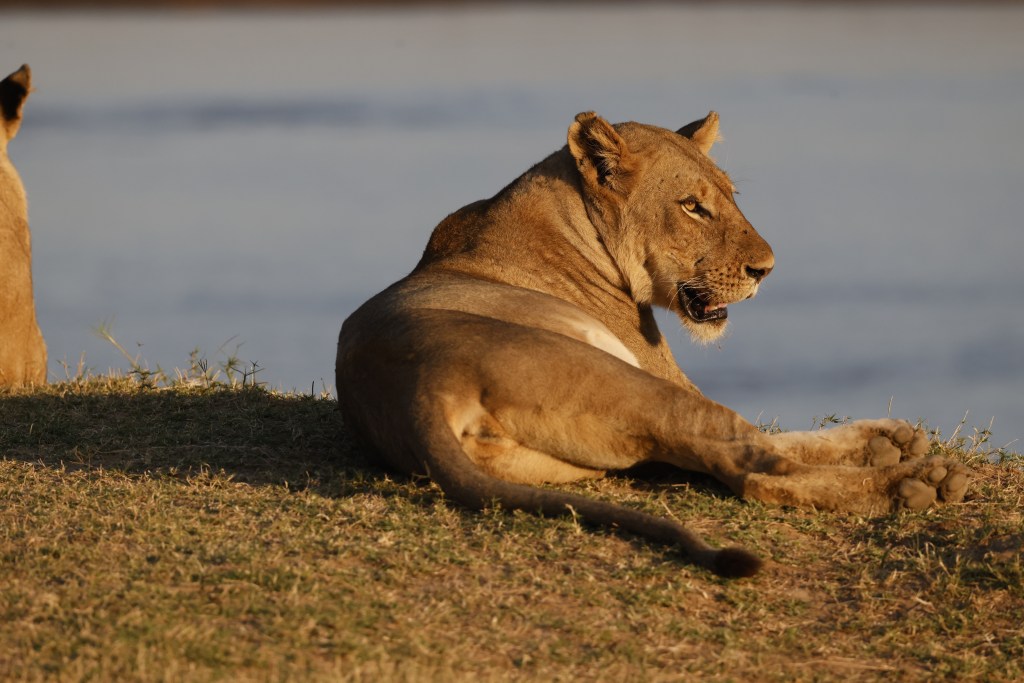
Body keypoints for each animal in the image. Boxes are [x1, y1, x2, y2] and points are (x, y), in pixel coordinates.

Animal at [336, 111, 970, 577]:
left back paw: (891, 451)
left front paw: (888, 438)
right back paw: (916, 484)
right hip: (623, 379)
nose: (766, 270)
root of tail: (417, 386)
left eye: (731, 196)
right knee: (752, 469)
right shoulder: (659, 366)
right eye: (692, 206)